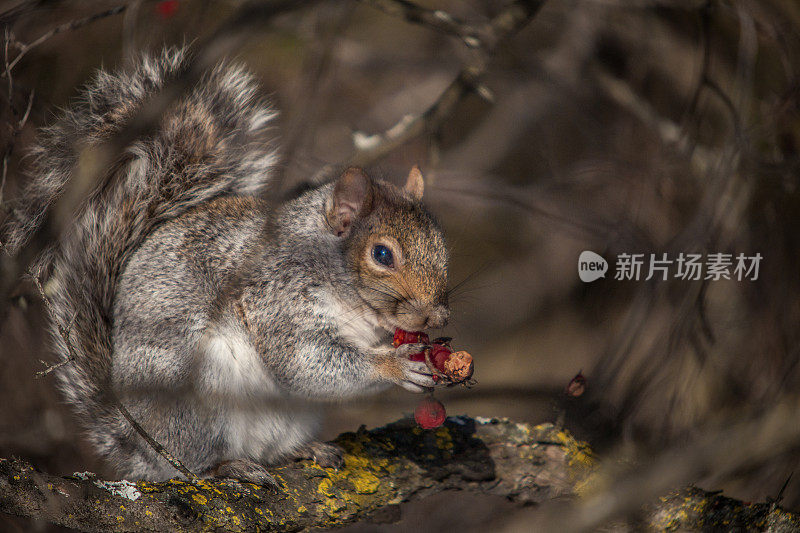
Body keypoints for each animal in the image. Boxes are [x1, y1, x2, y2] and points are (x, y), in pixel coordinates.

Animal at [4, 48, 450, 482]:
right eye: (382, 255)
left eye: (441, 243)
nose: (438, 317)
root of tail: (140, 444)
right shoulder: (279, 297)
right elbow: (306, 362)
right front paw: (393, 365)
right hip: (194, 393)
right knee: (194, 464)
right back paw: (225, 466)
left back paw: (303, 450)